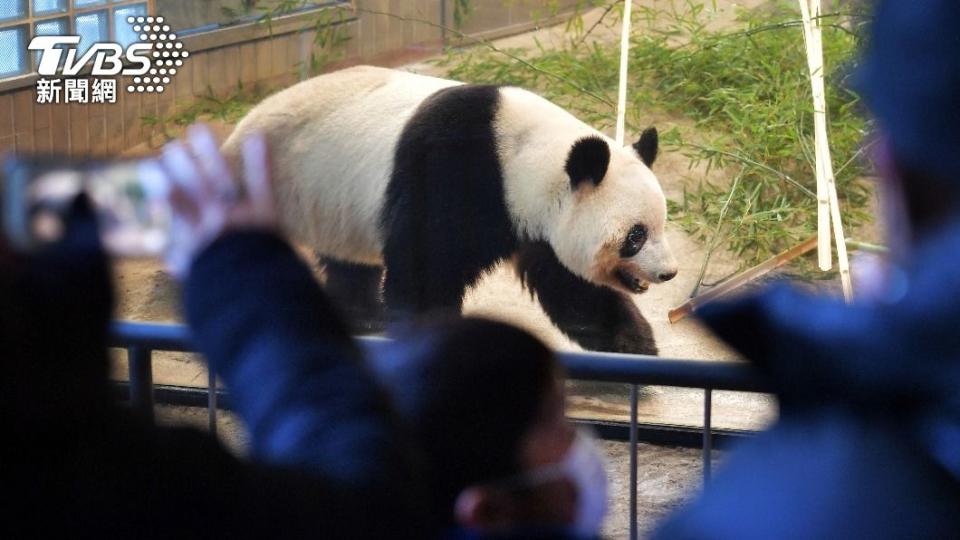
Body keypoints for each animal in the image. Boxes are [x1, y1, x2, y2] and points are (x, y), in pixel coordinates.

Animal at [222, 66, 680, 354]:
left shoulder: (538, 224)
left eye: (662, 225)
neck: (520, 157)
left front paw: (634, 343)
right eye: (636, 235)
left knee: (349, 264)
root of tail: (235, 134)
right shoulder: (451, 171)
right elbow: (424, 270)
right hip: (273, 184)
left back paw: (364, 318)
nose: (668, 274)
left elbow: (571, 286)